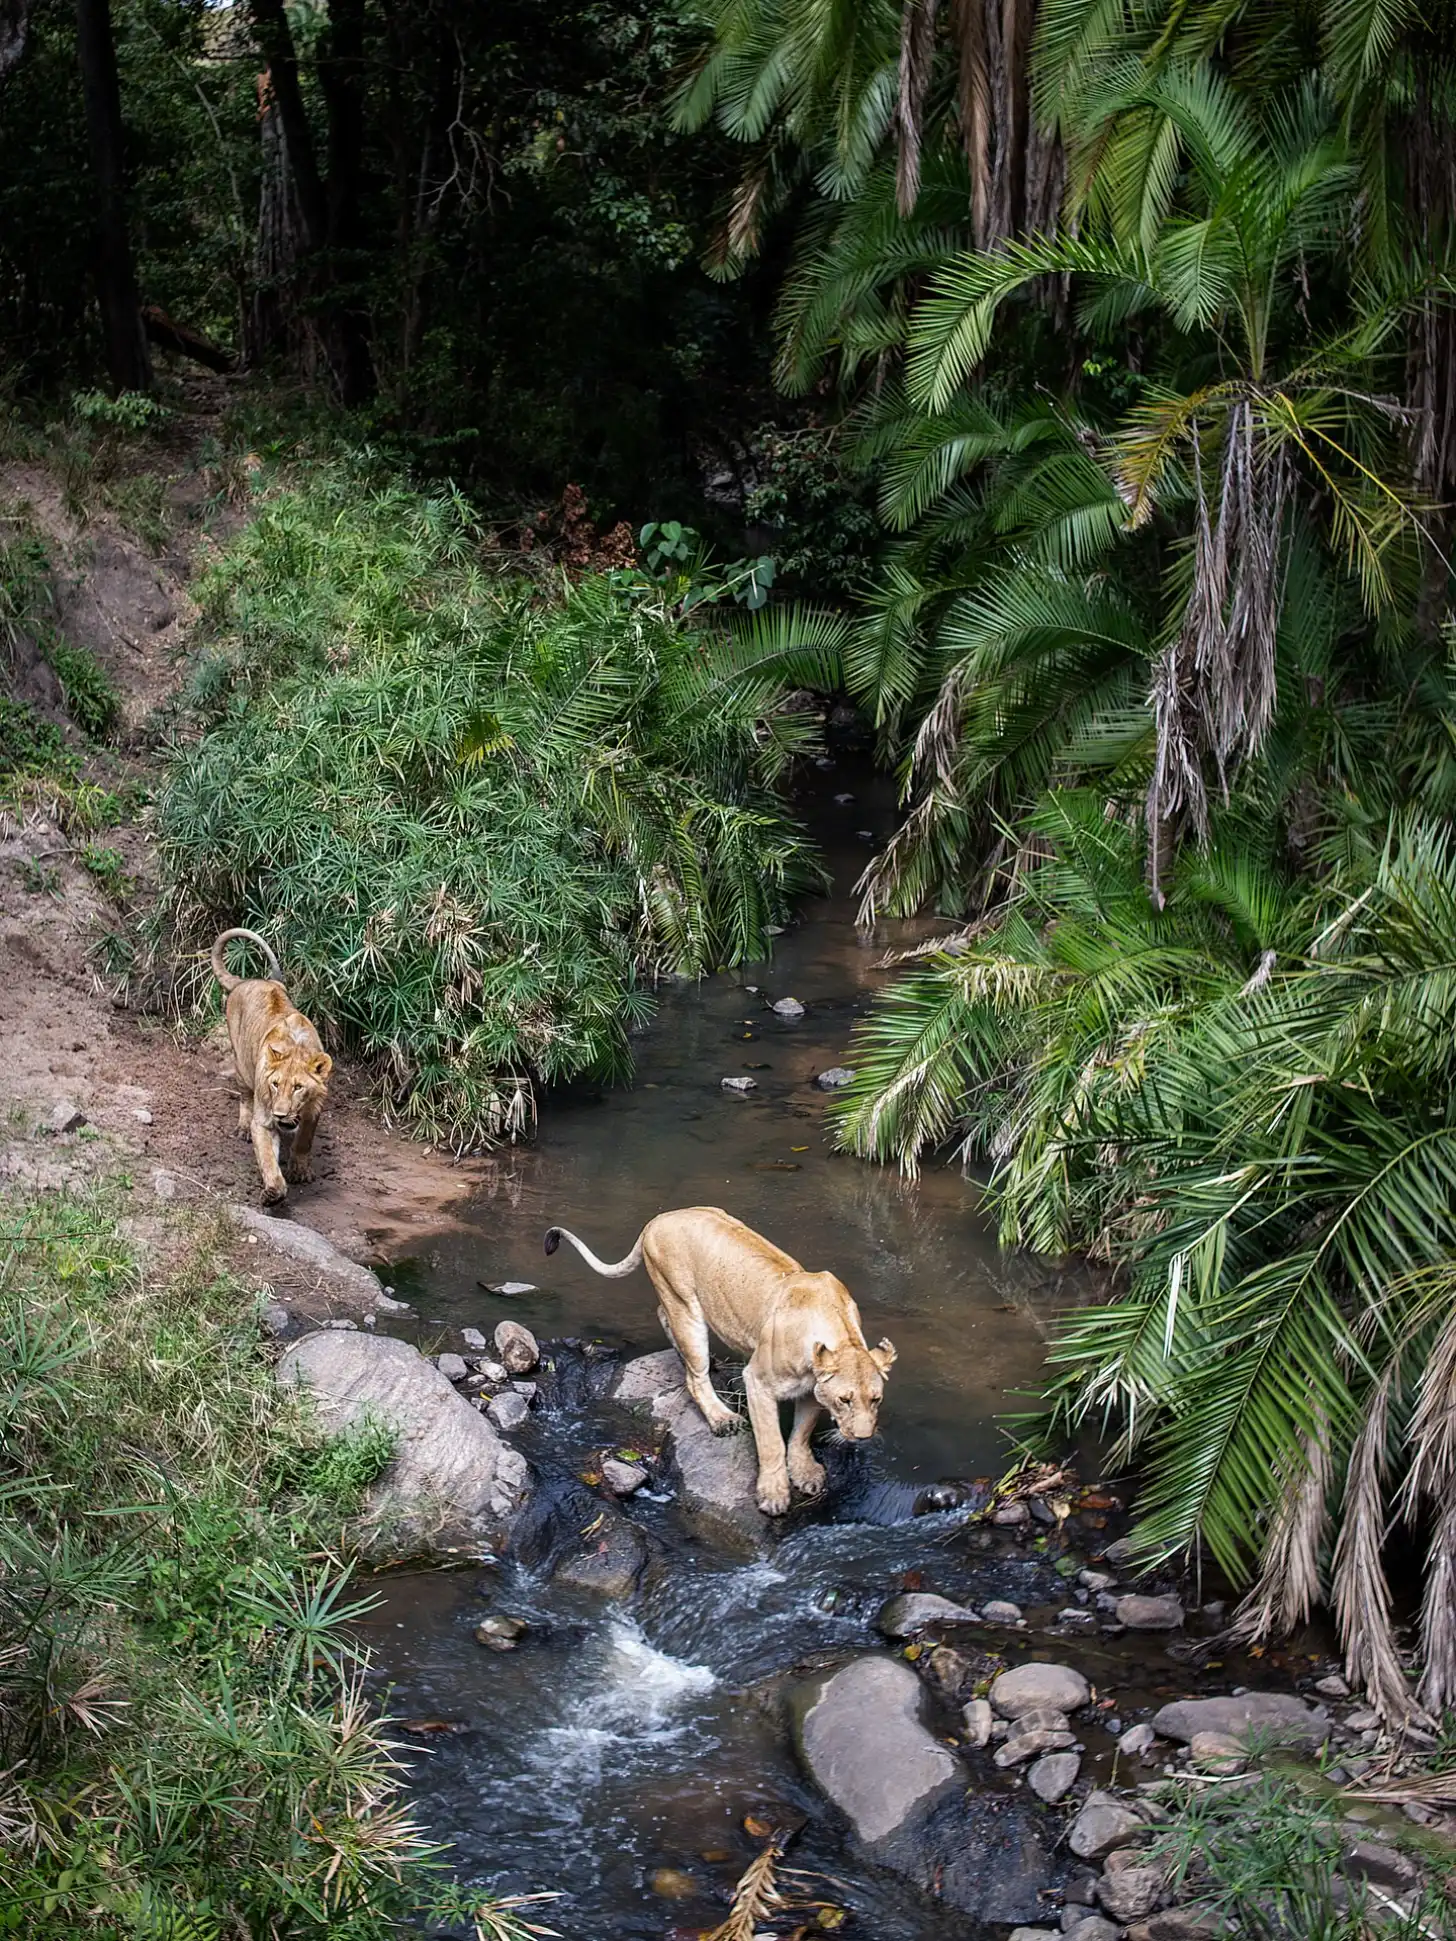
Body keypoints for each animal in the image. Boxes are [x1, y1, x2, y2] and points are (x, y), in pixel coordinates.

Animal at [210, 928, 332, 1206]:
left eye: (298, 1087)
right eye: (275, 1085)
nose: (280, 1114)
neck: (296, 1048)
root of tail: (245, 981)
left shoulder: (314, 1109)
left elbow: (304, 1141)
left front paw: (299, 1170)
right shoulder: (264, 1120)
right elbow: (267, 1159)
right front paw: (274, 1192)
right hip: (242, 1065)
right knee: (245, 1097)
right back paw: (243, 1127)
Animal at [544, 1206, 895, 1515]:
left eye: (876, 1399)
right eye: (845, 1400)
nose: (863, 1437)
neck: (841, 1333)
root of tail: (658, 1219)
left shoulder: (812, 1390)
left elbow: (801, 1434)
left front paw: (806, 1473)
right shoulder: (758, 1381)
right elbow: (772, 1442)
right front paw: (773, 1495)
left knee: (662, 1316)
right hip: (685, 1306)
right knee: (693, 1374)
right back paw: (722, 1418)